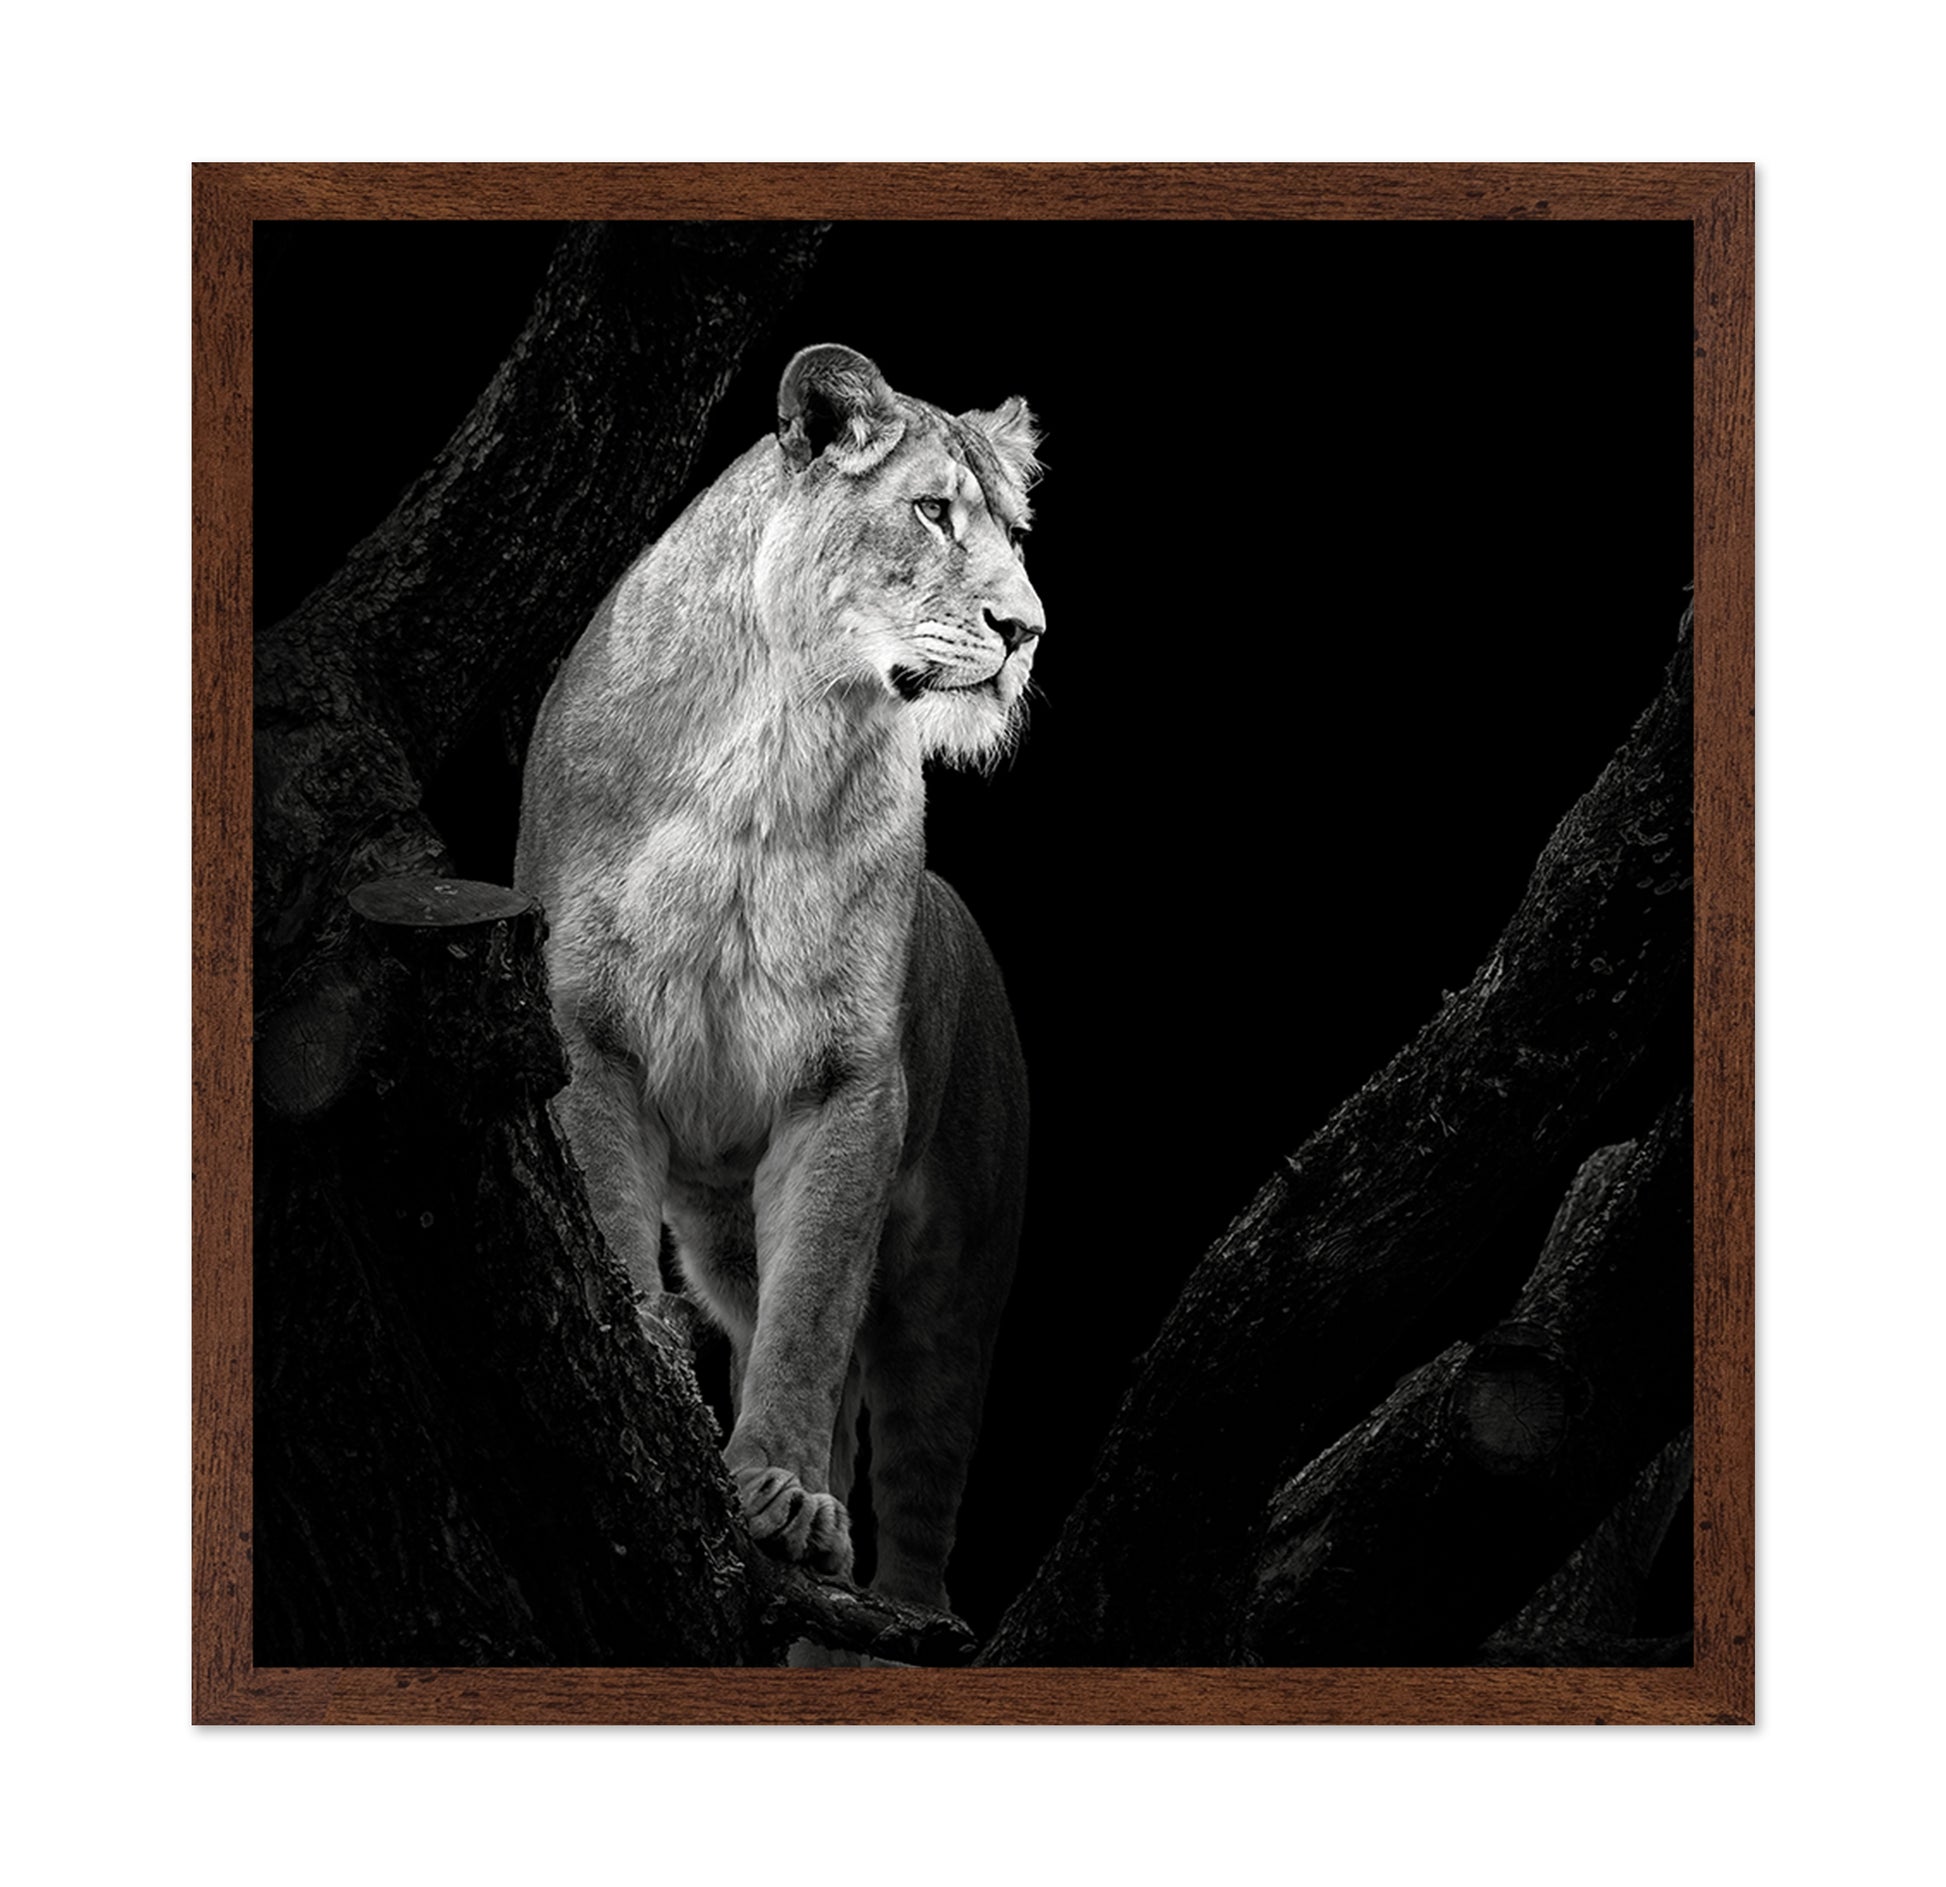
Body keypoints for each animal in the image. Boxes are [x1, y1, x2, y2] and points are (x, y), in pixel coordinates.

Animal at [514, 343, 1044, 1619]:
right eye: (931, 511)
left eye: (1014, 530)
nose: (1026, 630)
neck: (781, 740)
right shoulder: (587, 1030)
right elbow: (614, 1224)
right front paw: (657, 1381)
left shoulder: (847, 1085)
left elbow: (810, 1317)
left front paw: (787, 1496)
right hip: (721, 1234)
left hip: (962, 1276)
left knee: (917, 1466)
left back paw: (899, 1612)